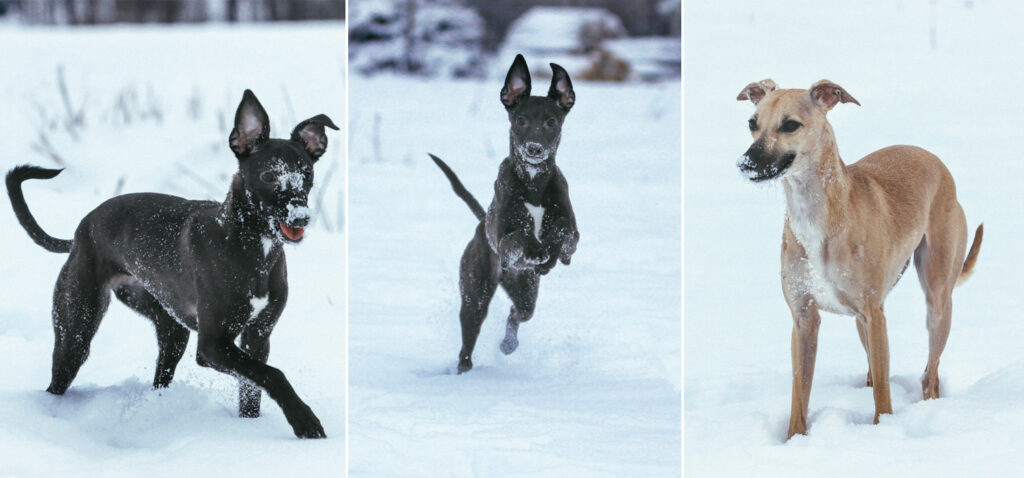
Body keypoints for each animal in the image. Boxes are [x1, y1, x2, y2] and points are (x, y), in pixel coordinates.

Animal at [6, 91, 337, 440]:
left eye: (307, 175)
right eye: (269, 176)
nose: (300, 217)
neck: (250, 247)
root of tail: (80, 231)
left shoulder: (258, 336)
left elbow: (254, 387)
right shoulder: (212, 345)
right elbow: (273, 374)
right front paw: (305, 421)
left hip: (171, 329)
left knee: (161, 374)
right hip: (76, 328)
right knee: (59, 376)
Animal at [428, 53, 581, 374]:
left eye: (551, 122)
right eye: (520, 120)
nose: (534, 149)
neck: (533, 184)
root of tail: (478, 225)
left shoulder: (573, 234)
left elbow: (564, 233)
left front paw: (551, 250)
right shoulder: (504, 243)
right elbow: (517, 236)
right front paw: (535, 245)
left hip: (525, 291)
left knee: (516, 312)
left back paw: (508, 344)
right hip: (475, 293)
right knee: (467, 343)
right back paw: (463, 369)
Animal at [737, 79, 983, 442]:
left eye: (790, 124)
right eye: (752, 123)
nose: (746, 163)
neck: (817, 216)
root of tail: (931, 157)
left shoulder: (873, 314)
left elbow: (883, 394)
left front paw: (883, 432)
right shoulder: (804, 318)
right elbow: (800, 394)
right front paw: (795, 440)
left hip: (936, 301)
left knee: (930, 373)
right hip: (861, 321)